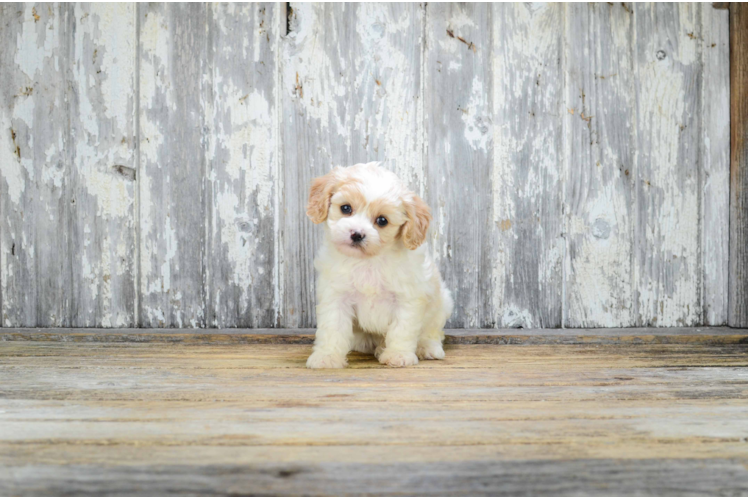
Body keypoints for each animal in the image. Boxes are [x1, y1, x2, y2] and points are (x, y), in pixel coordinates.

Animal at [306, 162, 456, 370]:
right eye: (346, 208)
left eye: (382, 220)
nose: (357, 234)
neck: (369, 260)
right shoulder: (336, 295)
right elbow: (332, 327)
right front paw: (327, 357)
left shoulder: (408, 298)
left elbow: (402, 328)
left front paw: (398, 355)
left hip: (443, 303)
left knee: (433, 331)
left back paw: (426, 347)